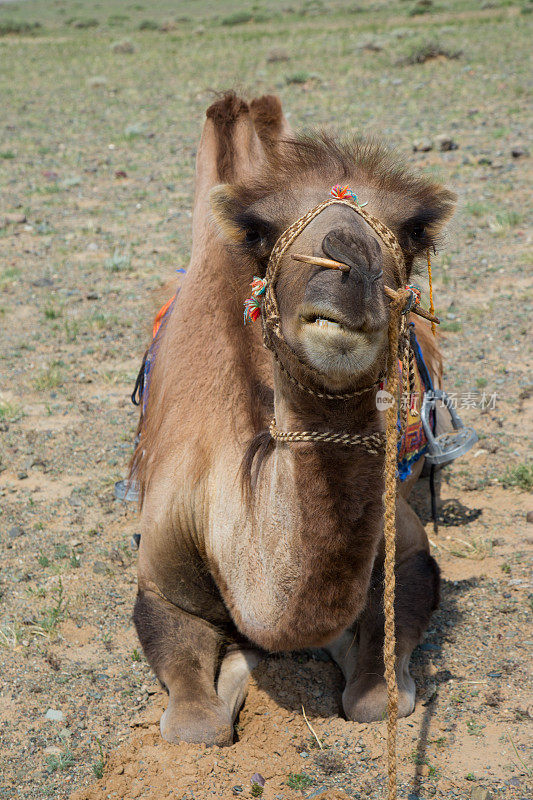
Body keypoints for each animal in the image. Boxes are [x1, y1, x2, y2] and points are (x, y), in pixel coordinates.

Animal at [131, 94, 456, 752]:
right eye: (259, 229)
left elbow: (373, 695)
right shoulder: (158, 573)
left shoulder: (407, 545)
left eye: (413, 229)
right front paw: (236, 663)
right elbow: (194, 722)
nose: (347, 262)